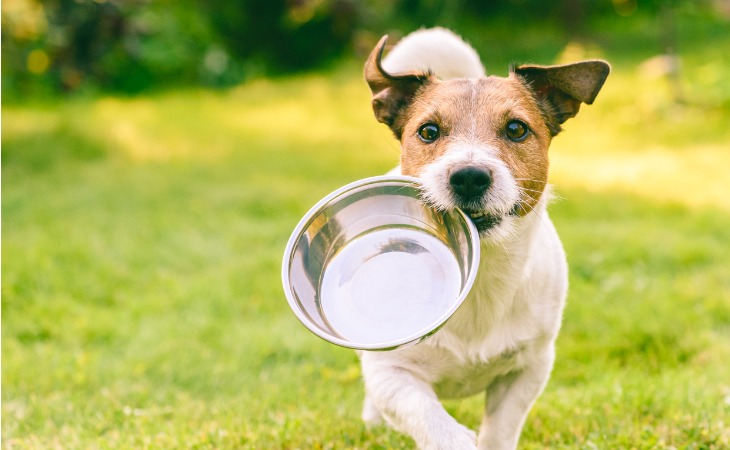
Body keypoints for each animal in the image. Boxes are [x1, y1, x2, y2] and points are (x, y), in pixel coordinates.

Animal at [358, 29, 608, 450]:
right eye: (428, 131)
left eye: (516, 129)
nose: (469, 177)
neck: (481, 274)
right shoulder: (392, 374)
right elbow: (432, 421)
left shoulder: (528, 370)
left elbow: (500, 430)